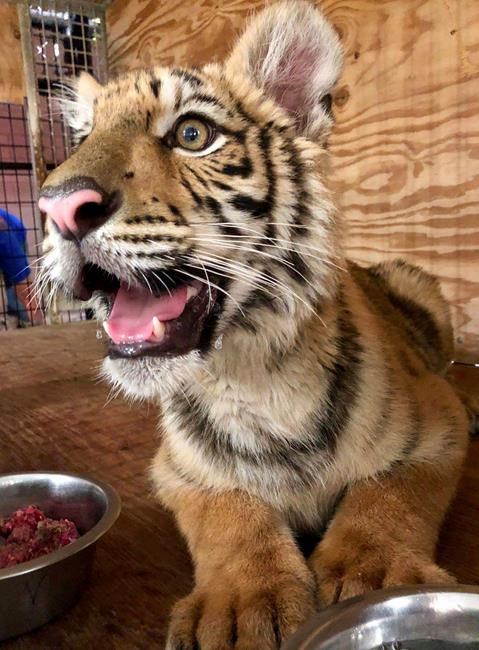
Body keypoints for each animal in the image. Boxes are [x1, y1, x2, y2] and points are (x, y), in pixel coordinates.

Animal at [37, 2, 469, 648]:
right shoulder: (178, 470)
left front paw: (374, 571)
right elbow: (228, 512)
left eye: (192, 134)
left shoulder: (438, 429)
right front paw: (243, 604)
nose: (59, 207)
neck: (256, 375)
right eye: (83, 139)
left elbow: (391, 491)